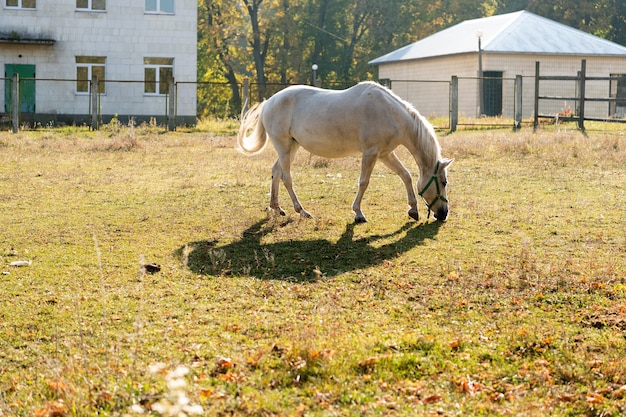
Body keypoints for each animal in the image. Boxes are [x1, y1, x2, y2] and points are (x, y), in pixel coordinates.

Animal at [236, 82, 450, 224]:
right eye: (444, 182)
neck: (390, 113)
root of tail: (269, 102)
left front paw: (413, 210)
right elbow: (364, 182)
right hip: (284, 147)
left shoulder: (384, 154)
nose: (444, 213)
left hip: (290, 147)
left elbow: (405, 175)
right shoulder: (370, 153)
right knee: (286, 178)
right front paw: (358, 213)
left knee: (276, 171)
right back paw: (302, 211)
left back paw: (277, 207)